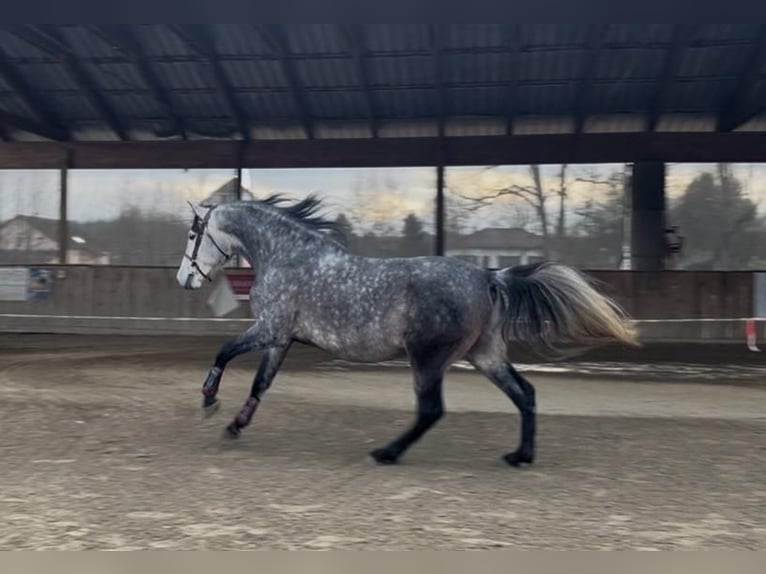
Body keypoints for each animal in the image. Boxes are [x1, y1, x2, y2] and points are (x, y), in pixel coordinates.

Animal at [175, 195, 638, 467]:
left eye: (194, 232)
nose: (184, 279)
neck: (287, 256)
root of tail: (488, 276)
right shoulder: (281, 338)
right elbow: (260, 383)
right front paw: (234, 425)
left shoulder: (269, 329)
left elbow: (224, 350)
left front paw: (209, 400)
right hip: (484, 354)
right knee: (524, 393)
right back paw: (520, 456)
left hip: (428, 357)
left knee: (432, 409)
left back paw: (387, 452)